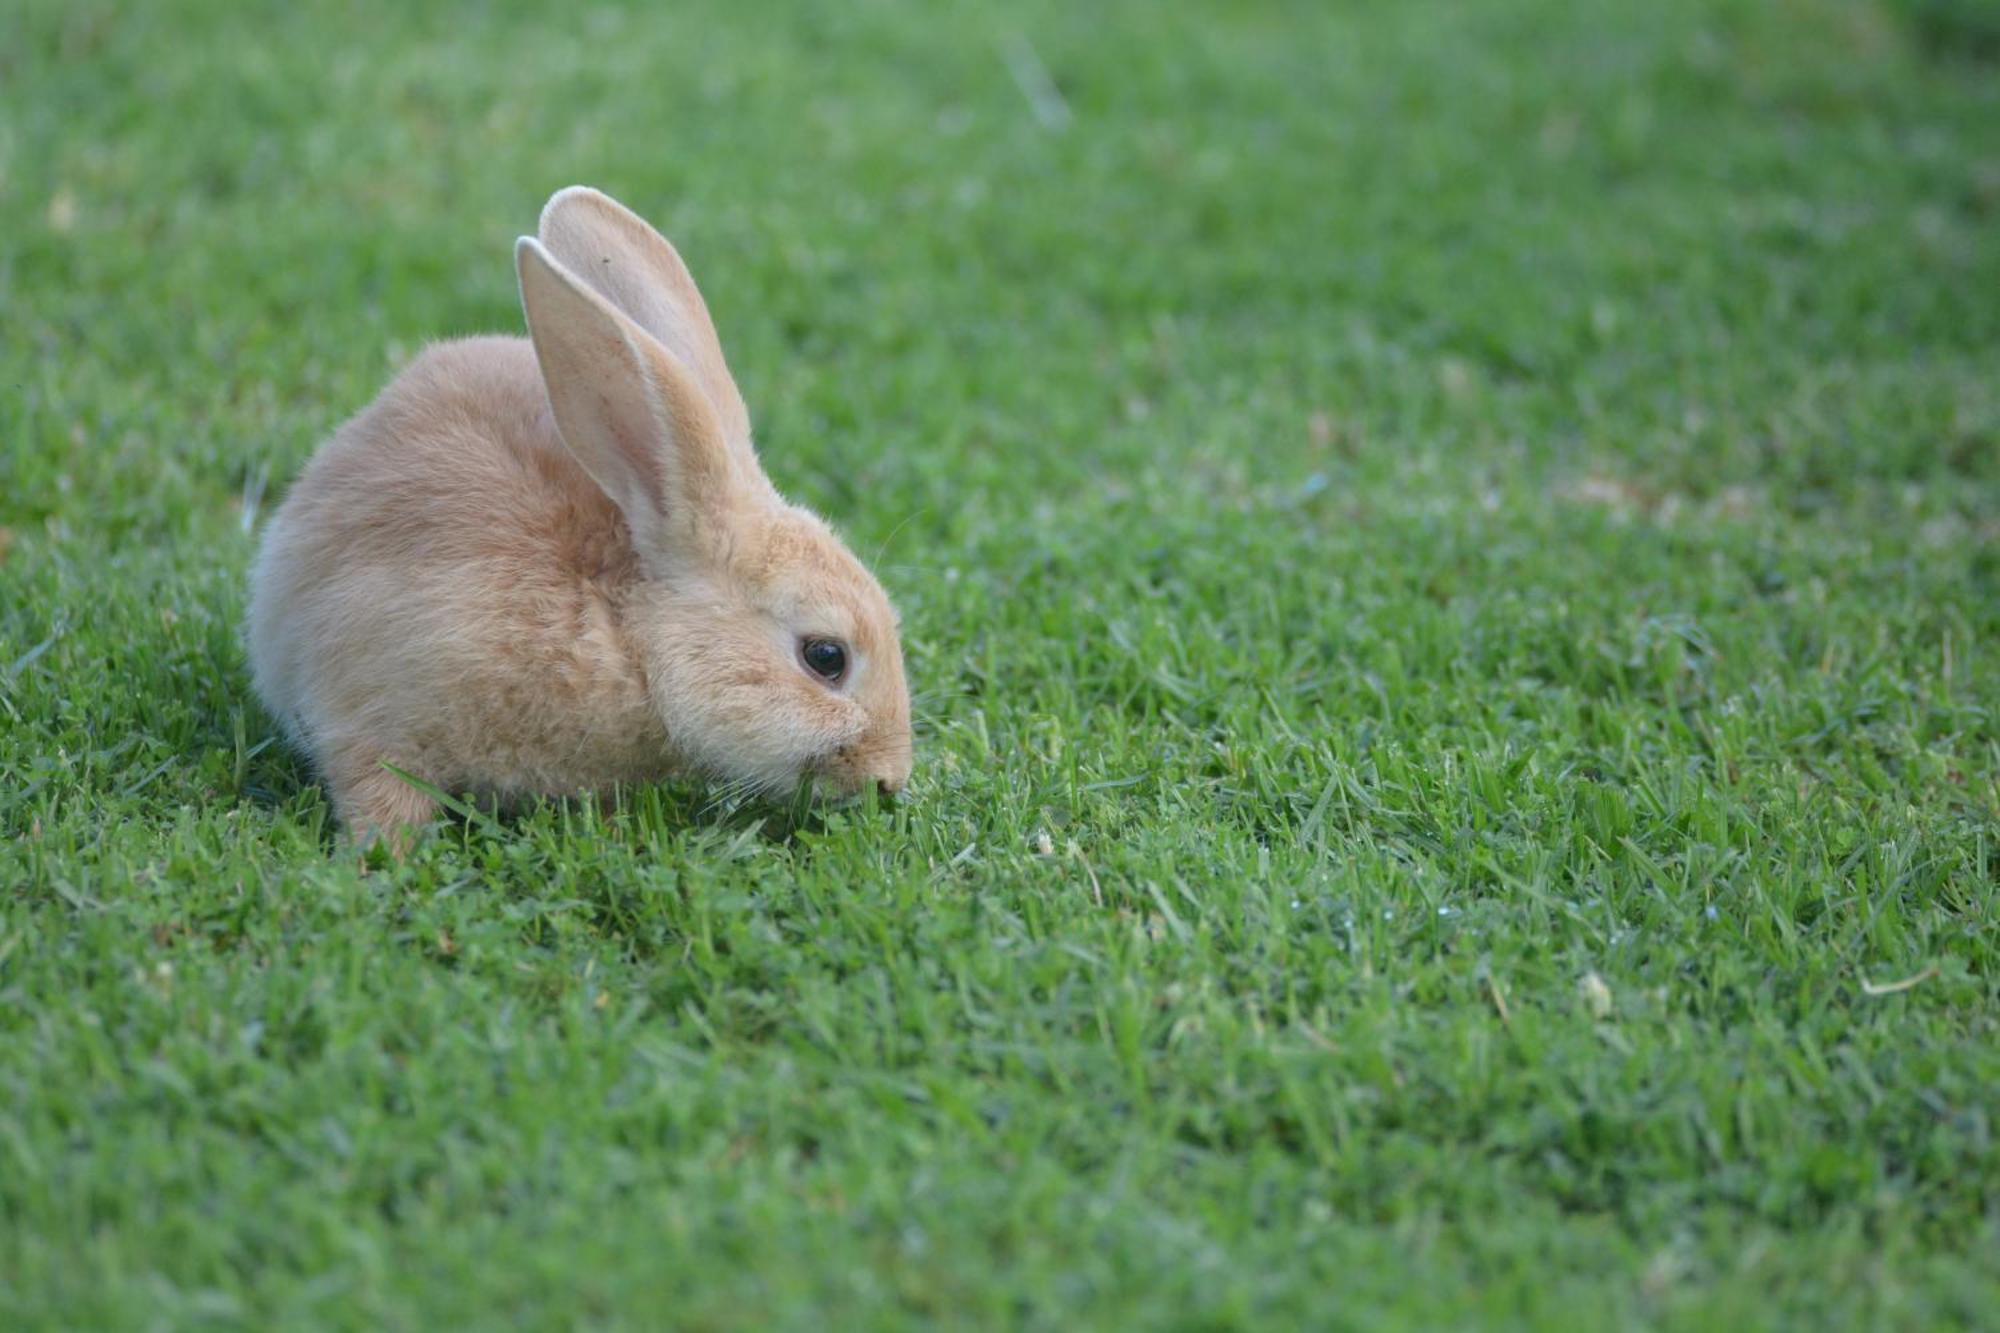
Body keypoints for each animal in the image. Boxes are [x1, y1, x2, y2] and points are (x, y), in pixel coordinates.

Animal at [244, 185, 920, 836]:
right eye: (826, 657)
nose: (889, 778)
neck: (624, 630)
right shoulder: (372, 712)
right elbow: (378, 791)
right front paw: (384, 855)